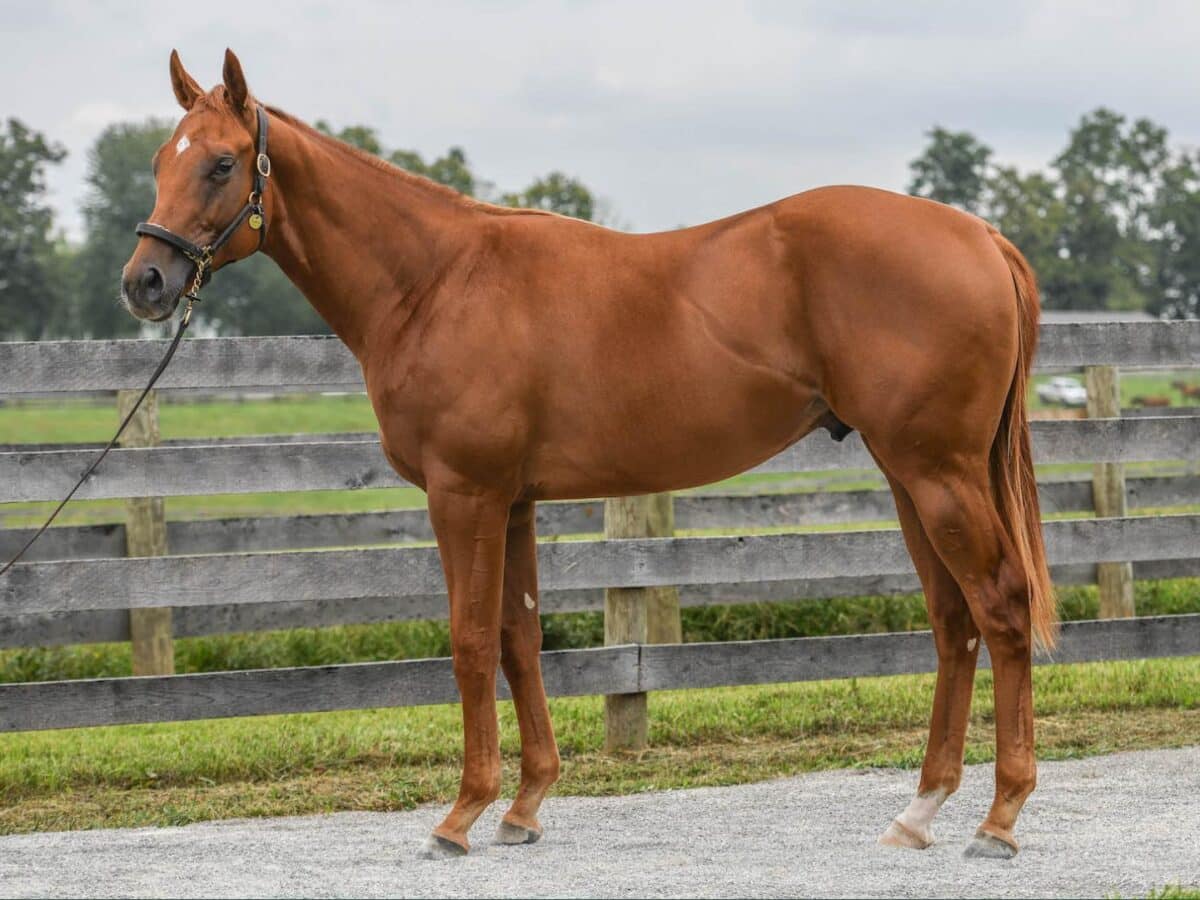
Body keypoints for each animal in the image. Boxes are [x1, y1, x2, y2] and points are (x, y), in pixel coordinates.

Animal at [121, 51, 1056, 859]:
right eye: (161, 159)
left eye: (220, 164)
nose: (144, 282)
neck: (436, 280)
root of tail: (981, 236)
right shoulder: (513, 501)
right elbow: (519, 637)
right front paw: (525, 805)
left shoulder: (464, 495)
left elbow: (470, 640)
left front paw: (461, 814)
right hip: (910, 477)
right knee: (954, 622)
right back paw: (921, 810)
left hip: (940, 476)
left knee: (1002, 606)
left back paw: (1000, 818)